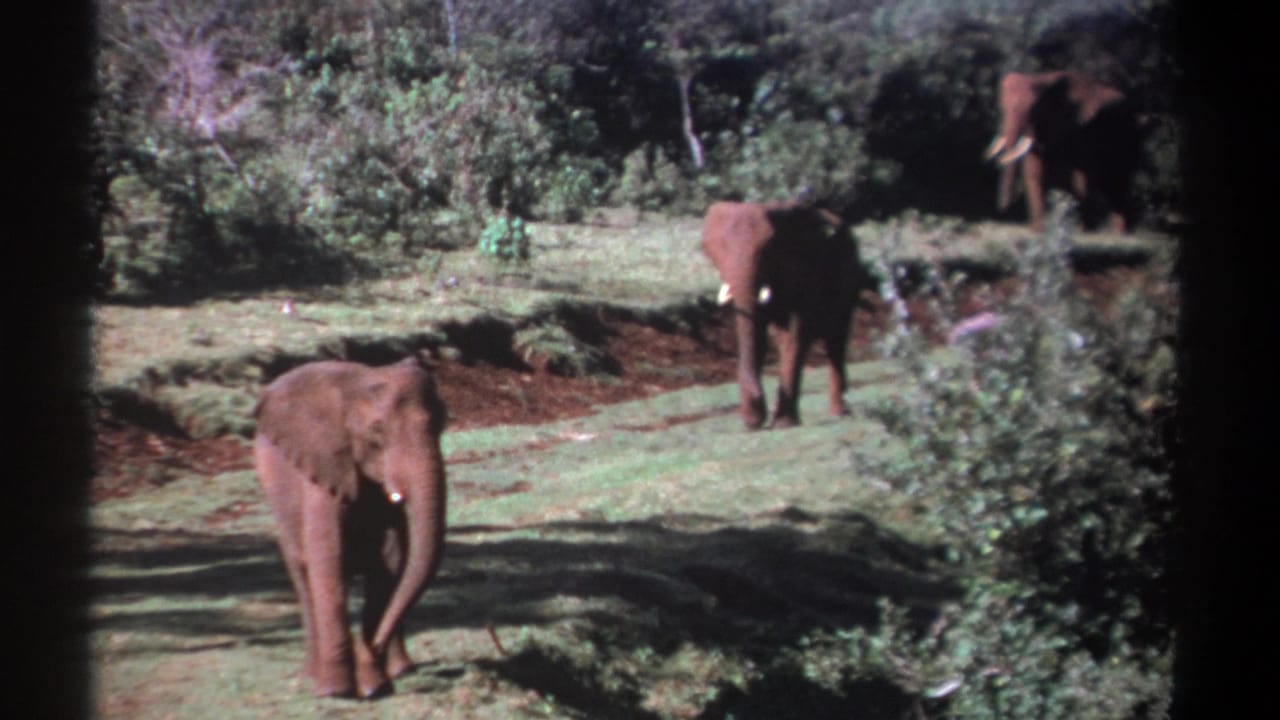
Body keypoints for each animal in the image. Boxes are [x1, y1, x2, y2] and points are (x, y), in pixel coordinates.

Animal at [254, 356, 448, 699]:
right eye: (377, 430)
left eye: (443, 422)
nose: (370, 650)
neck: (358, 384)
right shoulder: (323, 465)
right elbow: (327, 559)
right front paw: (338, 691)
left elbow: (391, 562)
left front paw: (374, 683)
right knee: (303, 573)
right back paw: (312, 676)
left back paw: (400, 669)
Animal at [701, 200, 875, 430]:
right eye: (717, 250)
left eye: (768, 249)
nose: (754, 414)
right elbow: (760, 335)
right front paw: (756, 420)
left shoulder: (805, 271)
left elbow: (796, 334)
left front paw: (784, 423)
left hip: (849, 279)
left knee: (836, 340)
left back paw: (840, 412)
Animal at [985, 70, 1142, 232]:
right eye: (1002, 108)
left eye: (1032, 110)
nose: (1003, 209)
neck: (1042, 79)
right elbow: (1033, 175)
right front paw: (1036, 230)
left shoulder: (1083, 128)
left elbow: (1081, 180)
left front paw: (1082, 230)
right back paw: (1117, 232)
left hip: (1128, 138)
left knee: (1118, 182)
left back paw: (1118, 233)